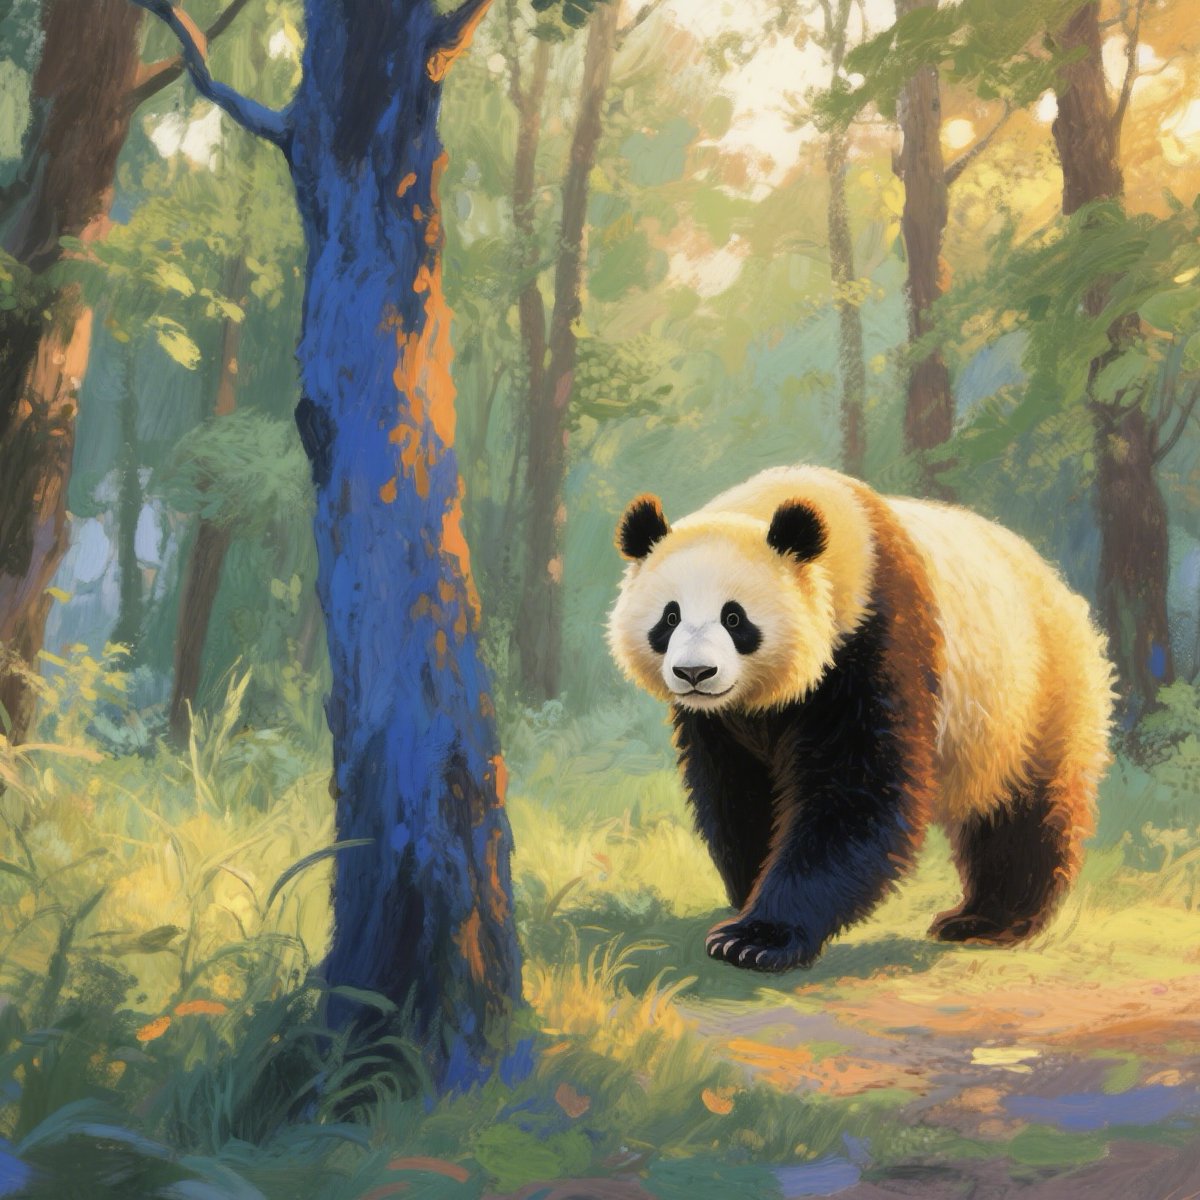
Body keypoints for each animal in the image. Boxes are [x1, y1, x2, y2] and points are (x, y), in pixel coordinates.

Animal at [607, 465, 1114, 973]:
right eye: (669, 617)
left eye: (734, 618)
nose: (695, 673)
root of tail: (1055, 581)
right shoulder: (719, 721)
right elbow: (738, 792)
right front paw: (747, 894)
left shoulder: (876, 638)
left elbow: (856, 795)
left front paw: (757, 938)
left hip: (1034, 697)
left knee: (1021, 812)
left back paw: (992, 919)